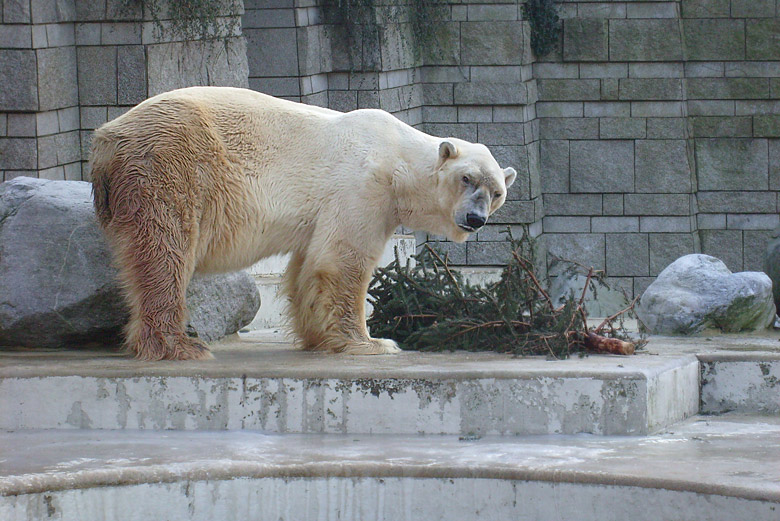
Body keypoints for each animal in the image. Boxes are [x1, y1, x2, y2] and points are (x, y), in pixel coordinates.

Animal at [90, 86, 516, 362]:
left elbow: (307, 266)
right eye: (466, 178)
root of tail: (106, 141)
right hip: (170, 163)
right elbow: (342, 262)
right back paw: (179, 345)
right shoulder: (363, 188)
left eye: (496, 192)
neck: (399, 159)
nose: (475, 219)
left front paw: (319, 339)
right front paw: (374, 343)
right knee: (166, 248)